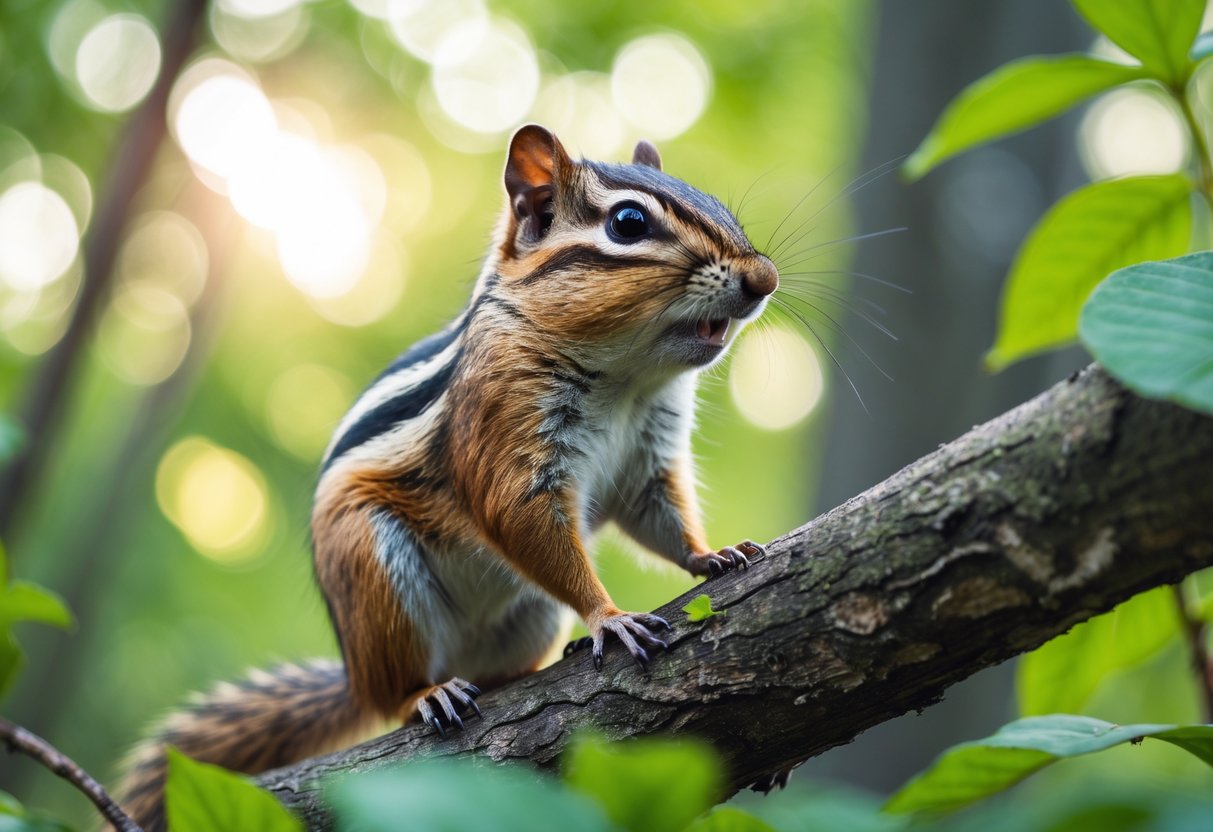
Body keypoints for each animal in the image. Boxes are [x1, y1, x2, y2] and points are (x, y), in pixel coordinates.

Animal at [118, 124, 778, 829]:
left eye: (713, 200)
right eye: (628, 223)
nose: (764, 278)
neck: (627, 379)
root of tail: (356, 673)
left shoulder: (649, 458)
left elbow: (661, 518)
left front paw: (712, 555)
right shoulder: (504, 429)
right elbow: (513, 512)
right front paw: (609, 618)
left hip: (529, 612)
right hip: (374, 569)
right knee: (395, 694)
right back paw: (428, 693)